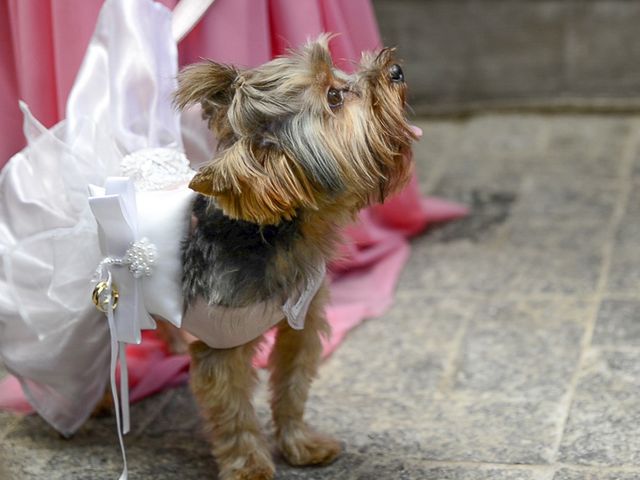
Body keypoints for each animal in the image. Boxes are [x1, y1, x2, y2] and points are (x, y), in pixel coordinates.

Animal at [172, 36, 418, 480]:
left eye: (336, 75)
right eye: (334, 97)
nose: (395, 69)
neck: (273, 233)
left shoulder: (301, 322)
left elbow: (292, 385)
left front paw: (300, 445)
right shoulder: (221, 344)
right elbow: (233, 413)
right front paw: (250, 467)